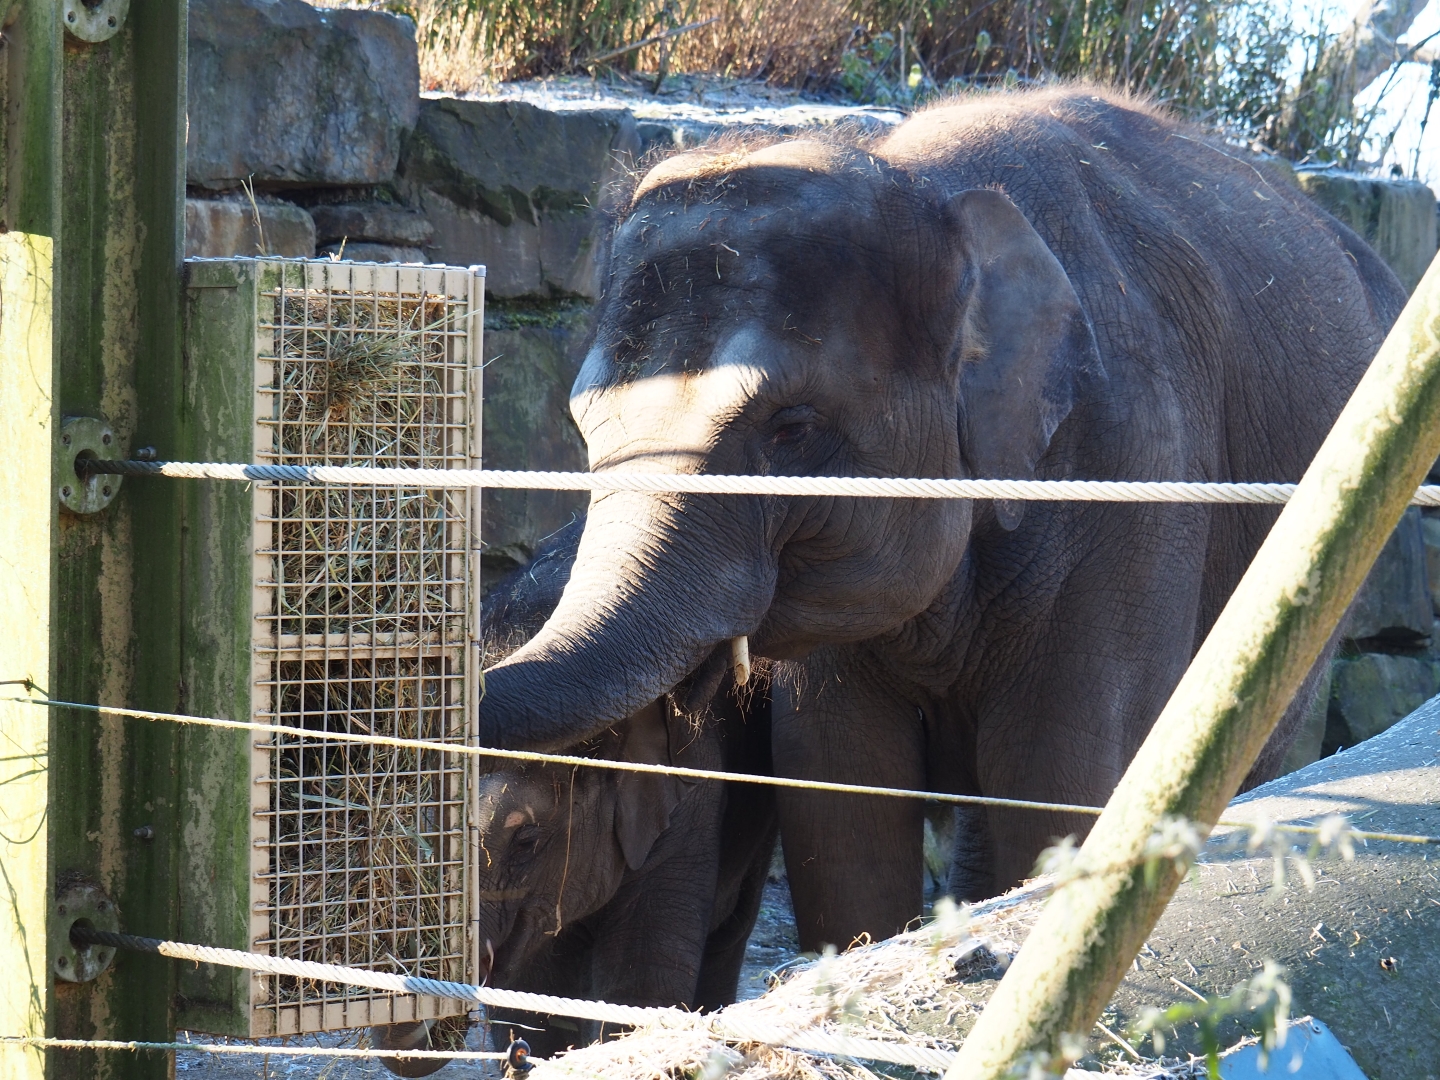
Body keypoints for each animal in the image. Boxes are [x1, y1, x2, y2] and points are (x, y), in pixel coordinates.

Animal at [478, 86, 1407, 955]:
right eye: (584, 428)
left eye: (791, 429)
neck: (919, 179)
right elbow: (841, 807)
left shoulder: (1133, 470)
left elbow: (1061, 781)